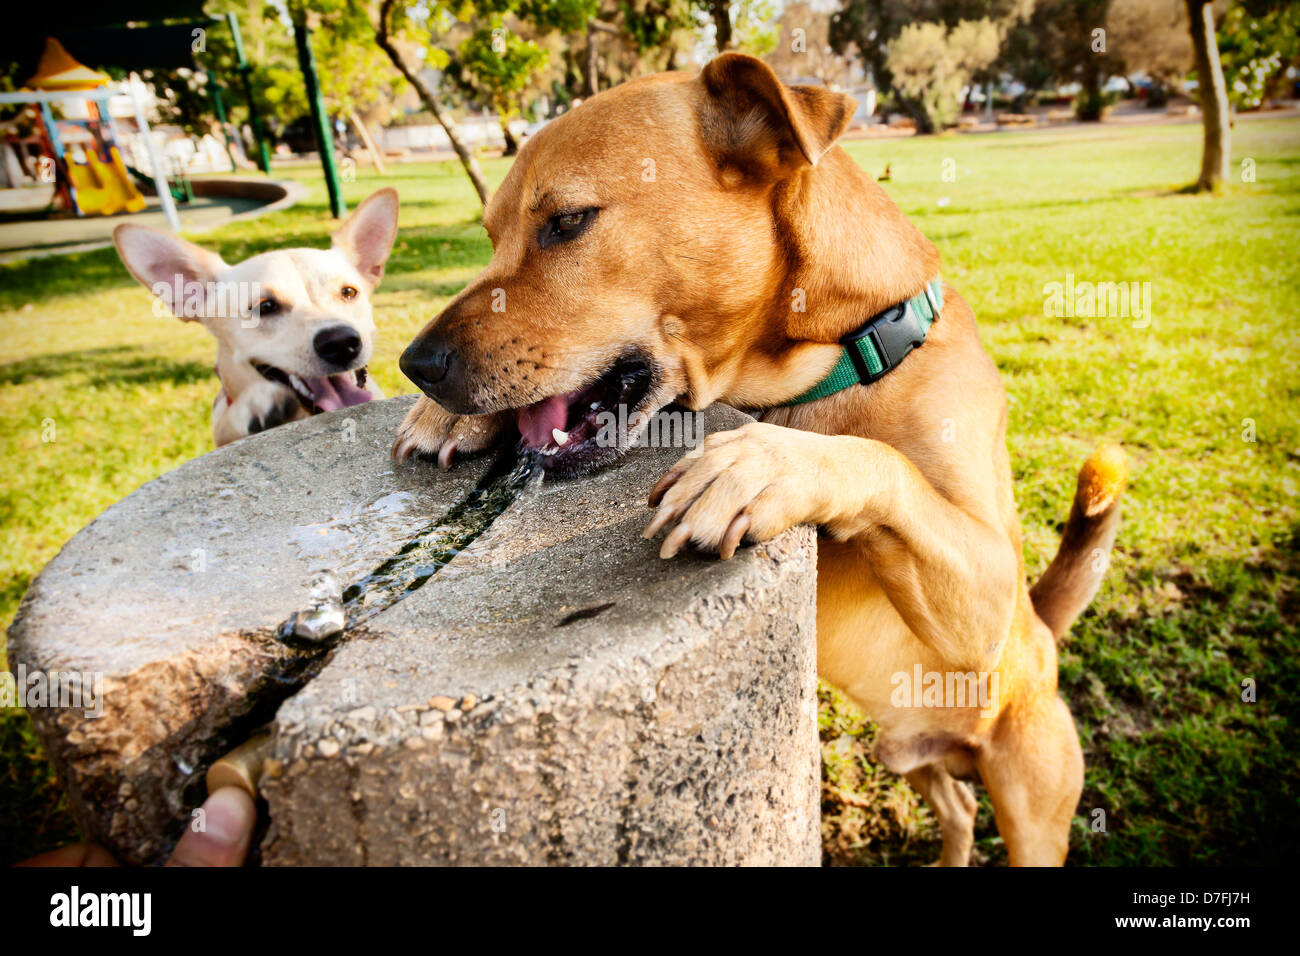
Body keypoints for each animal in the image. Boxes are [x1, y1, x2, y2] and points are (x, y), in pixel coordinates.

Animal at [390, 52, 1123, 868]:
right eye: (491, 234)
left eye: (568, 222)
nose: (416, 365)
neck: (844, 353)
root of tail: (1045, 637)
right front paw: (458, 418)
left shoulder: (989, 593)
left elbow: (880, 462)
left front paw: (764, 465)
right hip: (914, 759)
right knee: (959, 810)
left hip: (1031, 801)